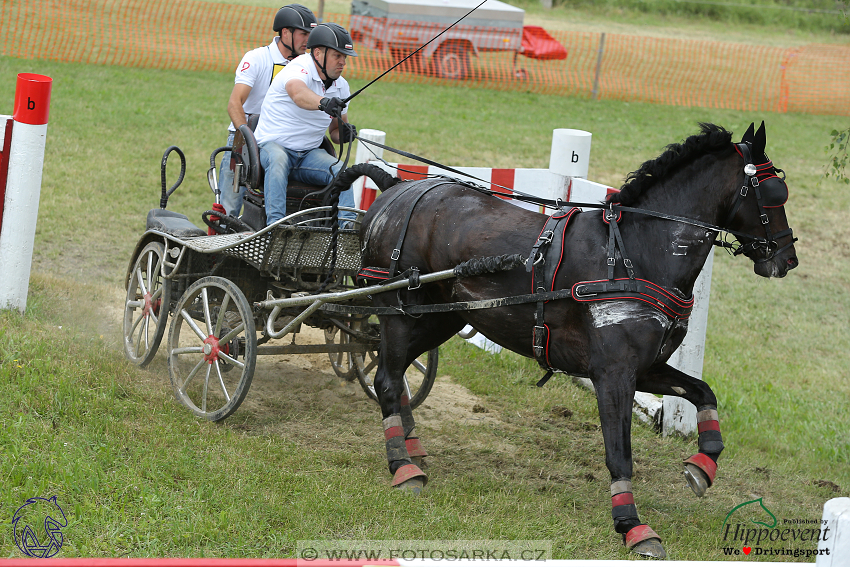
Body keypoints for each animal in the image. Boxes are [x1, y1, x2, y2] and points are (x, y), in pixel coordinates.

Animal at [346, 123, 796, 560]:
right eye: (775, 192)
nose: (787, 258)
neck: (634, 254)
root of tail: (394, 188)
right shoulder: (613, 374)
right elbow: (619, 451)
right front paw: (632, 526)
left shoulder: (646, 367)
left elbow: (704, 393)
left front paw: (703, 464)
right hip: (398, 313)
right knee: (388, 380)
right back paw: (402, 465)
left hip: (442, 318)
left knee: (398, 375)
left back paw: (410, 444)